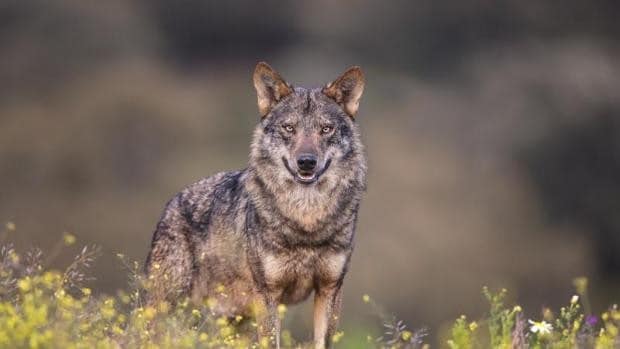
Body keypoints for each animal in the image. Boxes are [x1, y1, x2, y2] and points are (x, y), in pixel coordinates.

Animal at [145, 61, 366, 346]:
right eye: (289, 128)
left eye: (325, 129)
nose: (306, 162)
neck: (306, 220)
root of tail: (172, 202)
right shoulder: (268, 294)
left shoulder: (329, 289)